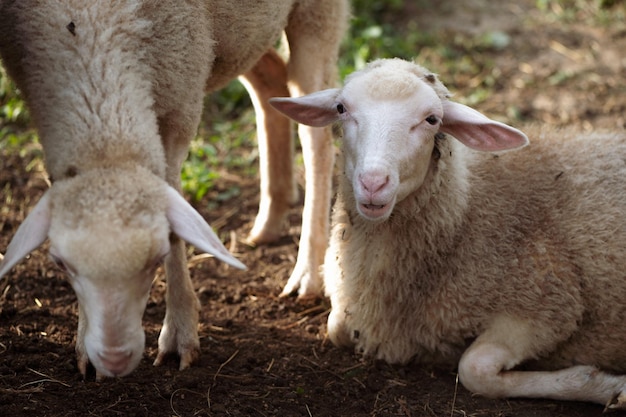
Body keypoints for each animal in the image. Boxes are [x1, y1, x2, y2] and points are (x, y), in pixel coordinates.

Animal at [0, 0, 346, 376]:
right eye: (61, 264)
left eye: (156, 259)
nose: (114, 359)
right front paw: (84, 345)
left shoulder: (181, 89)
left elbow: (174, 199)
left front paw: (180, 335)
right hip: (239, 36)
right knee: (270, 76)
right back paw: (270, 218)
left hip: (315, 14)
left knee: (317, 137)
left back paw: (307, 272)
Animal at [270, 58, 626, 410]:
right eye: (341, 108)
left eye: (431, 119)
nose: (373, 182)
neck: (466, 213)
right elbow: (336, 328)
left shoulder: (549, 304)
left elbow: (473, 369)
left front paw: (606, 386)